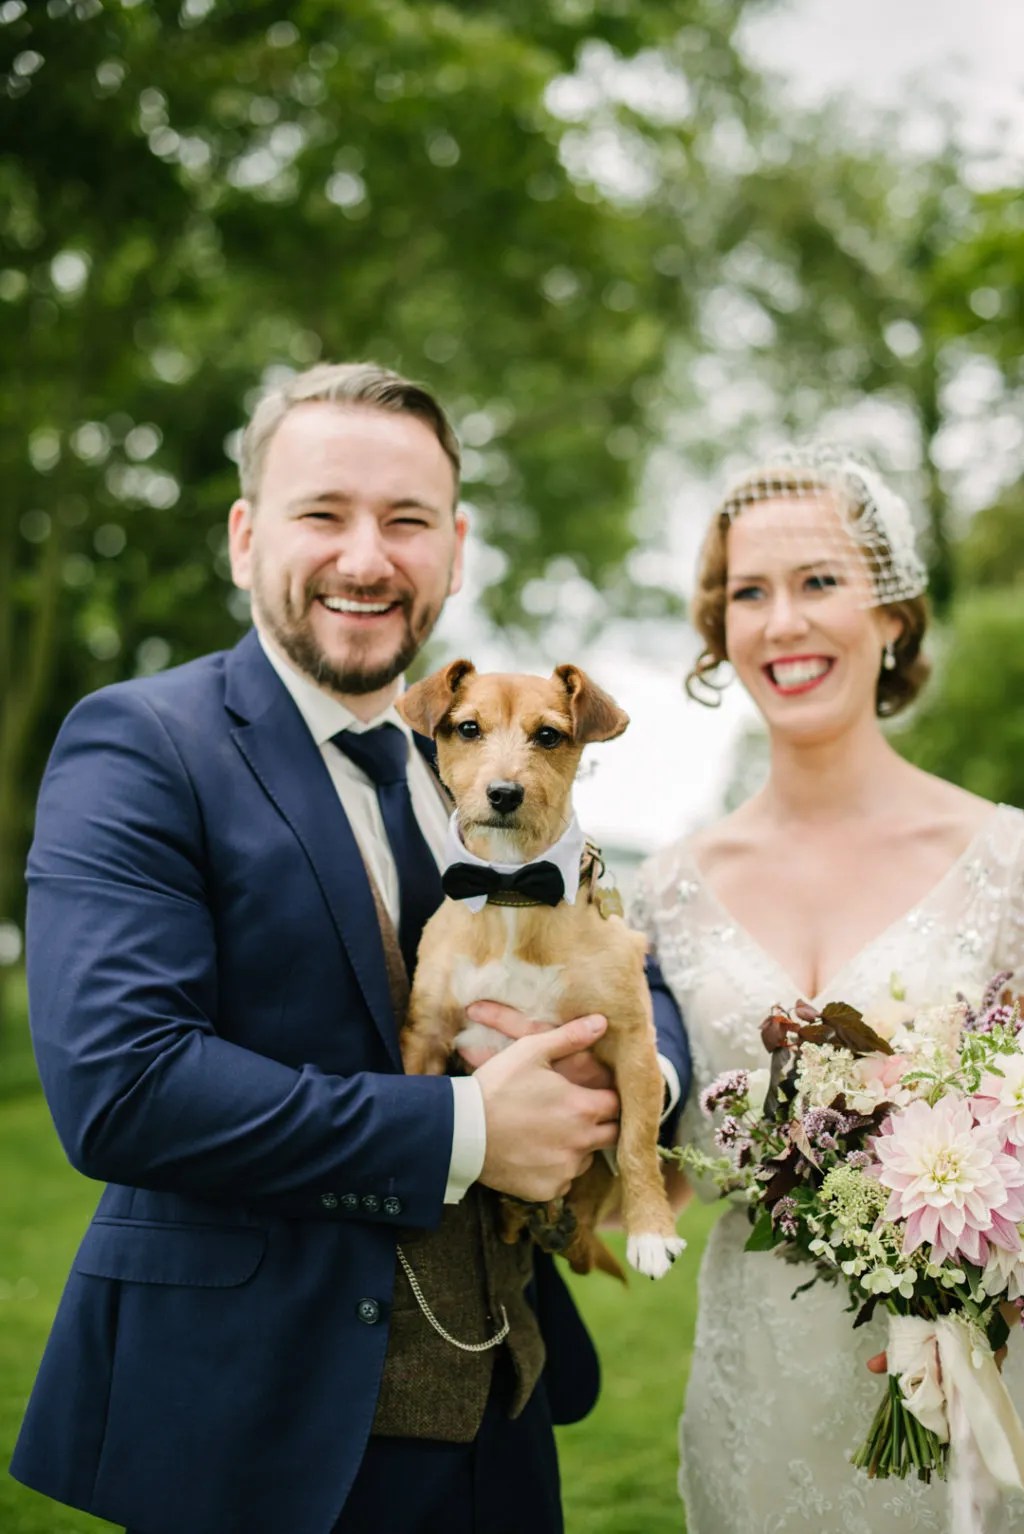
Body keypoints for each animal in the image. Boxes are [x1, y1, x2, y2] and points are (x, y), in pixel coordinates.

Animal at [395, 659, 683, 1282]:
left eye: (548, 735)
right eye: (468, 728)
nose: (504, 794)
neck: (511, 887)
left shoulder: (632, 1042)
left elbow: (636, 1141)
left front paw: (651, 1231)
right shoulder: (426, 1037)